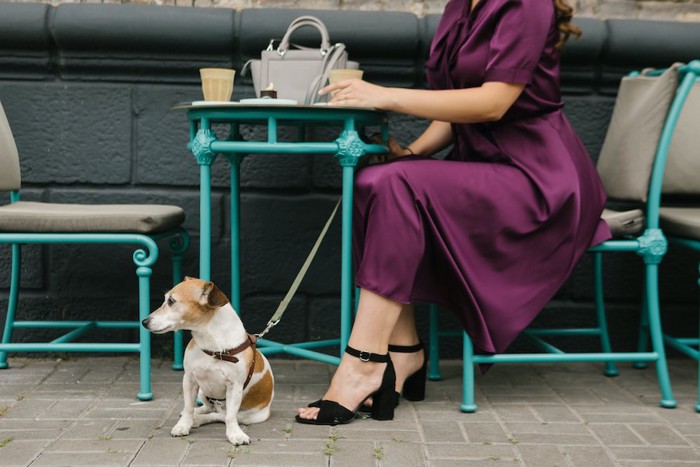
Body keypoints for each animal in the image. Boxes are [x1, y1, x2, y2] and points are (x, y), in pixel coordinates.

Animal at [142, 278, 274, 446]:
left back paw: (199, 419)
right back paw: (197, 414)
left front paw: (235, 434)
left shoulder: (235, 387)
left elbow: (230, 417)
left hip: (250, 416)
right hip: (202, 392)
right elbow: (188, 407)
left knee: (221, 416)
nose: (144, 321)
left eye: (171, 301)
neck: (212, 346)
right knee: (209, 407)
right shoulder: (189, 379)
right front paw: (183, 425)